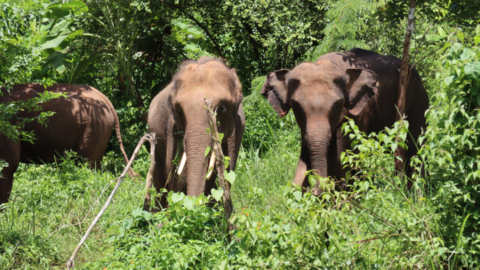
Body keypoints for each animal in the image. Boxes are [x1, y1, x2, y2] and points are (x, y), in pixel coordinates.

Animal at [147, 57, 246, 209]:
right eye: (178, 110)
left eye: (222, 108)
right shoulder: (172, 129)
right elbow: (176, 175)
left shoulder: (237, 128)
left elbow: (225, 174)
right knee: (160, 181)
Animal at [260, 48, 430, 192]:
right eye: (296, 106)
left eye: (338, 105)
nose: (314, 190)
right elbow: (304, 159)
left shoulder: (355, 116)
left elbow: (342, 161)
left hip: (419, 101)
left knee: (415, 149)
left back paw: (415, 195)